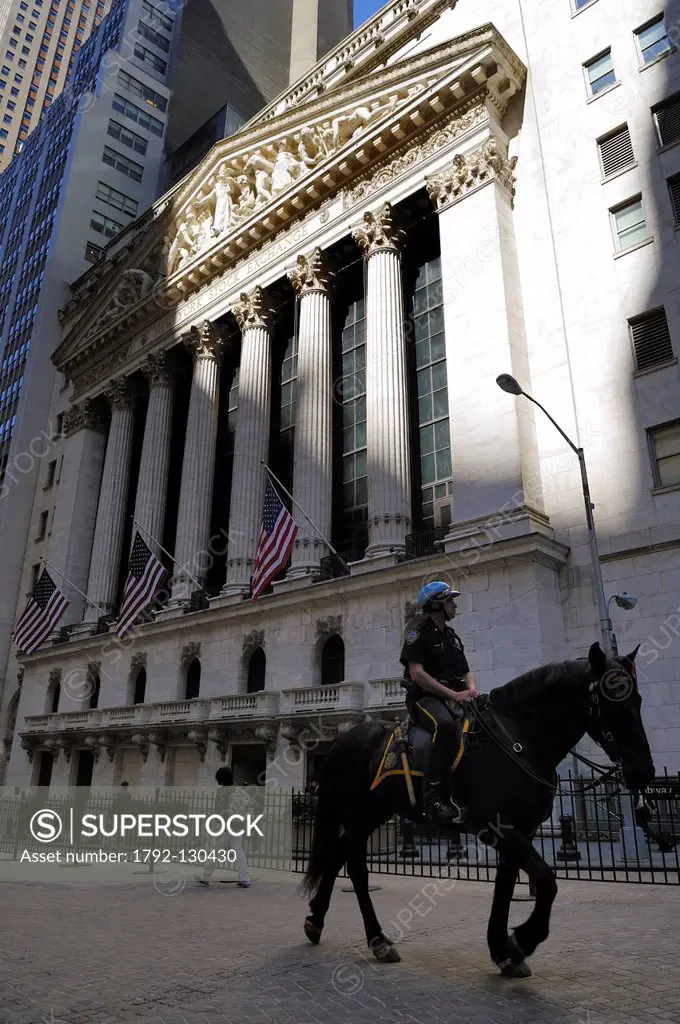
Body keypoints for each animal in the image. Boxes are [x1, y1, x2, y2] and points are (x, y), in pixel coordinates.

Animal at [301, 643, 655, 978]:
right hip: (359, 815)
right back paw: (377, 939)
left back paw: (316, 920)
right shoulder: (499, 828)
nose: (644, 773)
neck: (518, 737)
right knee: (356, 868)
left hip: (373, 814)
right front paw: (523, 939)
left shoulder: (520, 831)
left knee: (337, 855)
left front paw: (503, 950)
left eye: (638, 700)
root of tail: (340, 743)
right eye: (613, 701)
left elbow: (506, 884)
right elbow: (546, 879)